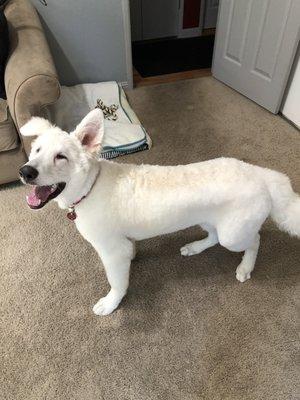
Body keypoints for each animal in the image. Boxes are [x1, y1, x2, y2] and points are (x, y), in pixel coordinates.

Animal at [19, 108, 300, 316]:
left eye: (61, 157)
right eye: (37, 150)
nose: (26, 171)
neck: (91, 186)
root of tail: (260, 173)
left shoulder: (112, 251)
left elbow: (117, 282)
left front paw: (111, 303)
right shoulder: (122, 243)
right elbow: (129, 252)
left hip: (234, 234)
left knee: (255, 240)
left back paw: (245, 267)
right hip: (209, 219)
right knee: (214, 237)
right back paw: (195, 247)